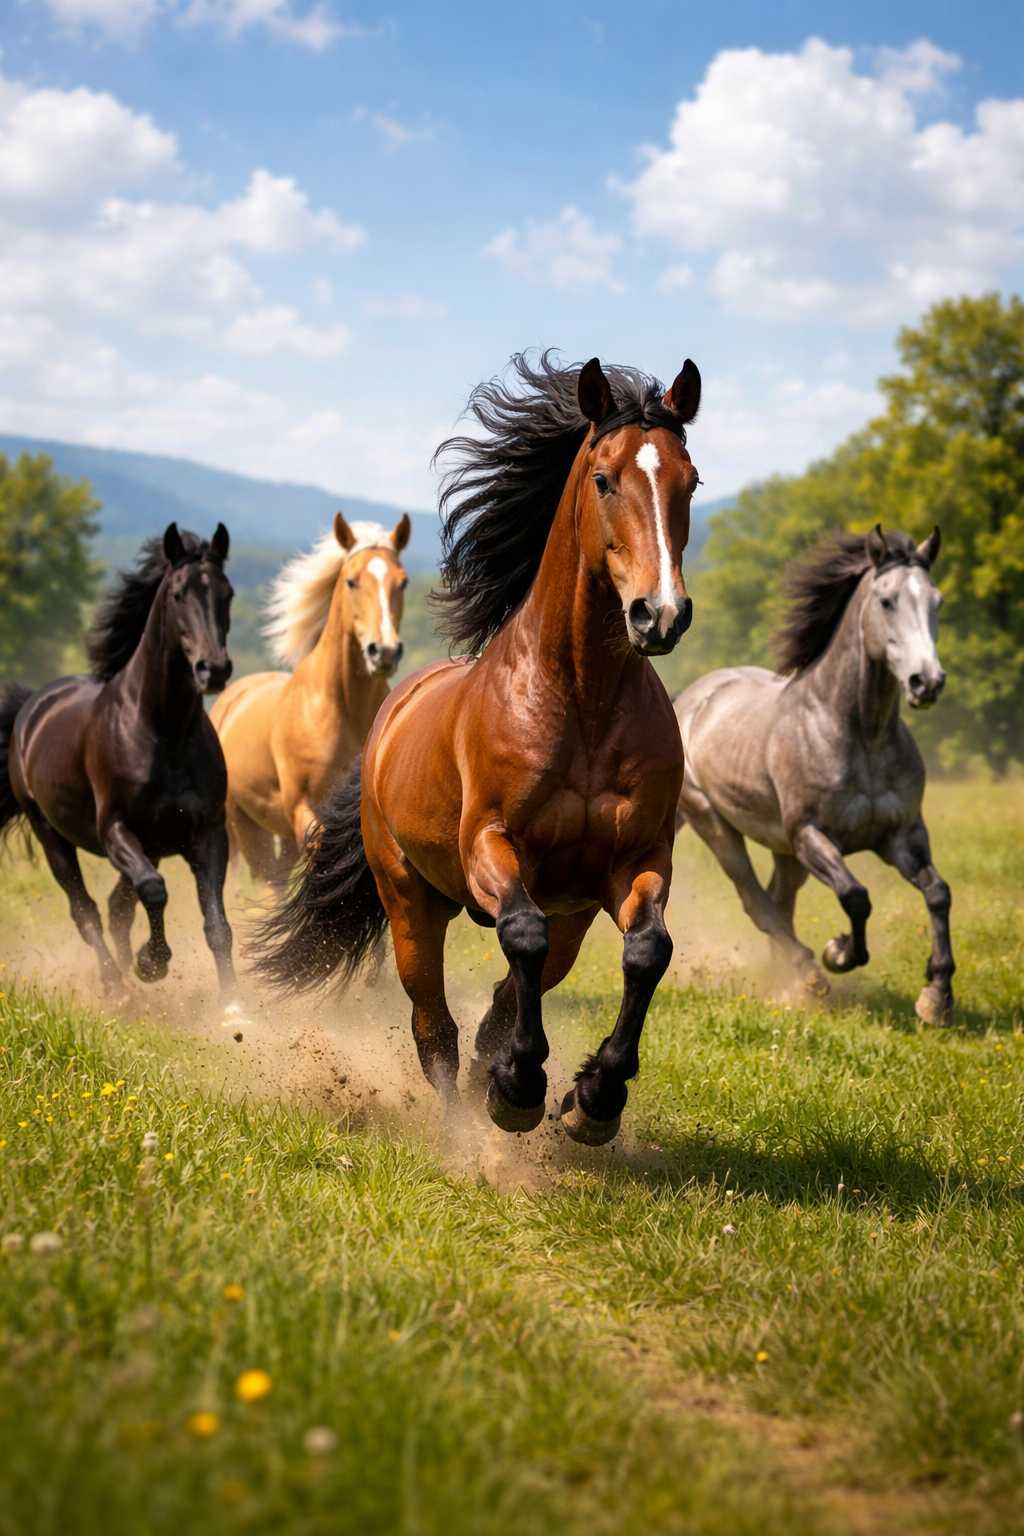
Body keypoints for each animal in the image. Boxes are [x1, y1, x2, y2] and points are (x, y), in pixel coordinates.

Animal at [0, 522, 243, 1015]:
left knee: (114, 906)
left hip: (149, 844)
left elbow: (216, 922)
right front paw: (152, 962)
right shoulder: (115, 830)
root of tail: (31, 707)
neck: (162, 730)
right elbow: (154, 890)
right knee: (86, 909)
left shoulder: (207, 832)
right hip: (51, 835)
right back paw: (115, 987)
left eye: (226, 593)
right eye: (177, 594)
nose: (213, 669)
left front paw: (232, 1006)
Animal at [210, 512, 411, 888]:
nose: (384, 651)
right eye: (351, 581)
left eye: (402, 582)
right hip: (243, 825)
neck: (342, 711)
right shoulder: (304, 807)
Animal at [252, 350, 702, 1145]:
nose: (660, 614)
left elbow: (648, 951)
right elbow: (518, 933)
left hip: (573, 915)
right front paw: (518, 1089)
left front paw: (593, 1098)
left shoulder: (638, 859)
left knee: (506, 997)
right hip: (411, 903)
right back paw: (467, 1123)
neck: (583, 704)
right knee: (434, 1025)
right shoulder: (489, 846)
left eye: (692, 480)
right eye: (604, 478)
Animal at [673, 524, 954, 1025]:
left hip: (783, 851)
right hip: (716, 824)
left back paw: (786, 979)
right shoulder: (810, 835)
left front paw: (937, 997)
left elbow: (938, 893)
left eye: (936, 600)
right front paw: (838, 952)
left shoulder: (902, 835)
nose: (927, 682)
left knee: (778, 901)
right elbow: (855, 896)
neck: (861, 736)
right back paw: (808, 975)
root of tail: (691, 699)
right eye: (887, 601)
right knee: (757, 901)